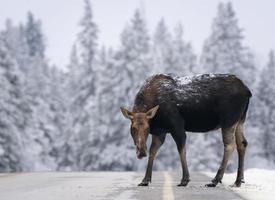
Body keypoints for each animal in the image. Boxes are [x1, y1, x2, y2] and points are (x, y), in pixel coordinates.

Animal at [121, 74, 252, 188]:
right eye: (133, 128)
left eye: (147, 128)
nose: (141, 152)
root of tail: (248, 91)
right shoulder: (160, 132)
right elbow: (153, 152)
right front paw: (145, 180)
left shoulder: (176, 125)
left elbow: (181, 150)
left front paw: (185, 179)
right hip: (240, 120)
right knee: (242, 143)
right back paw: (238, 181)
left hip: (228, 120)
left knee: (230, 145)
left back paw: (215, 180)